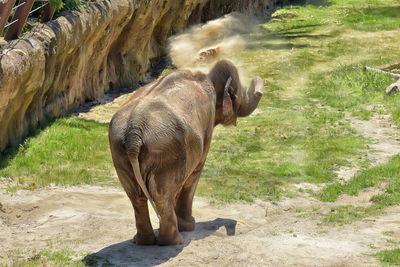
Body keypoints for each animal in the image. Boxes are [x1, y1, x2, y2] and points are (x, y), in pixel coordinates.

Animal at [108, 59, 262, 246]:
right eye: (236, 94)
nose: (256, 80)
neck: (206, 74)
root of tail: (134, 130)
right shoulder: (207, 126)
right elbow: (194, 174)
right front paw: (189, 226)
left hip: (120, 152)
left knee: (136, 197)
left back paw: (143, 241)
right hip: (166, 153)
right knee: (162, 196)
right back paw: (174, 241)